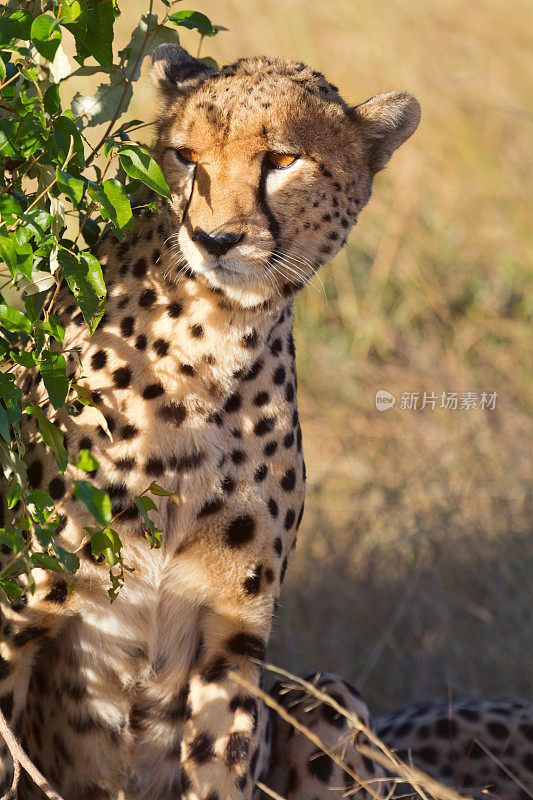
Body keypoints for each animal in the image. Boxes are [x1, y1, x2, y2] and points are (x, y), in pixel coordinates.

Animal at [0, 40, 528, 800]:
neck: (204, 346)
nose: (214, 238)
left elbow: (223, 764)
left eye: (280, 159)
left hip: (330, 694)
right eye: (186, 155)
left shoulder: (232, 636)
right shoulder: (19, 611)